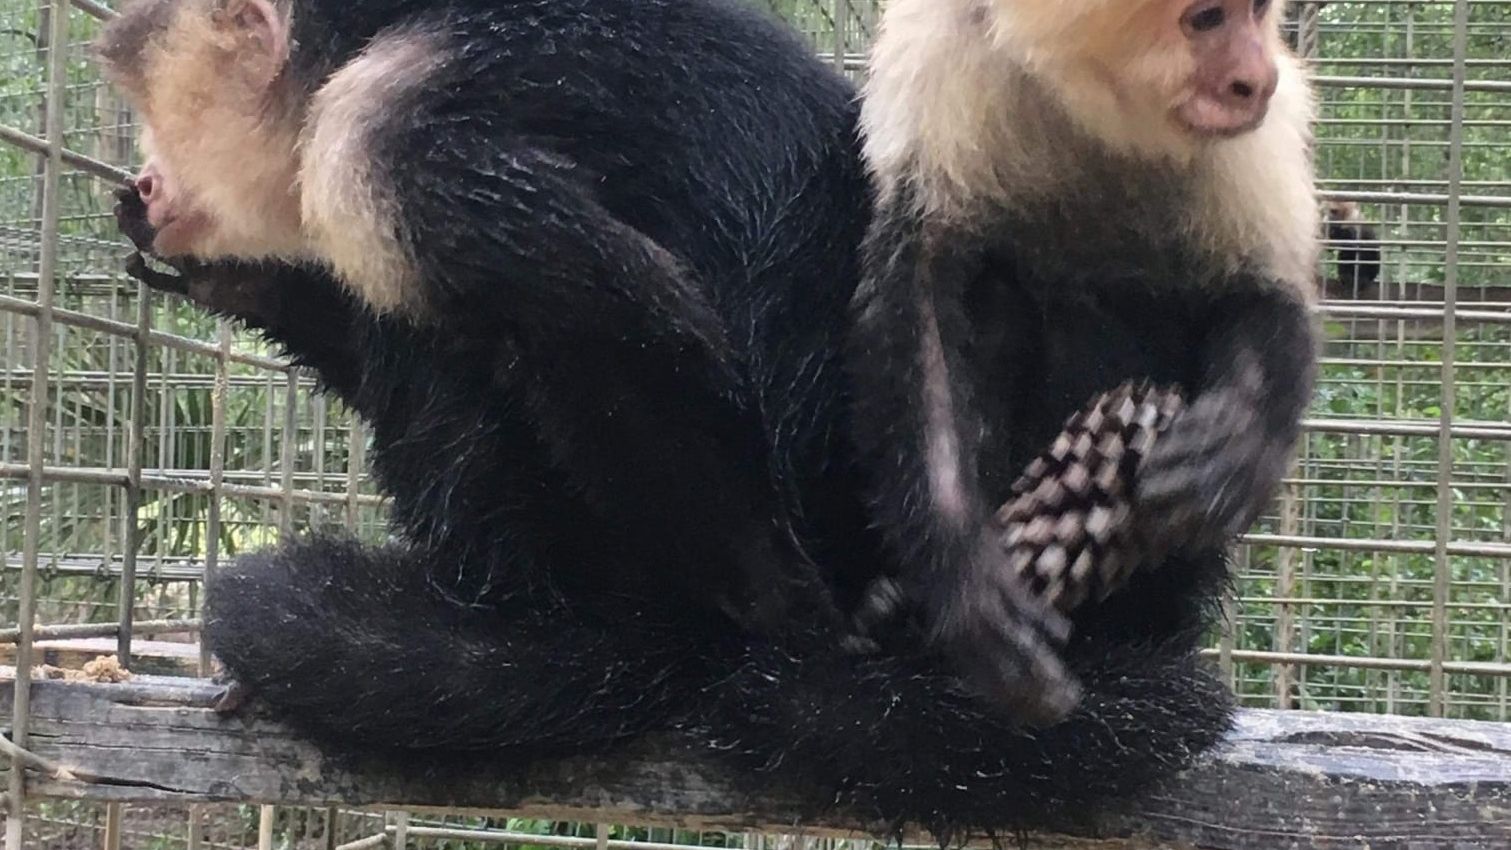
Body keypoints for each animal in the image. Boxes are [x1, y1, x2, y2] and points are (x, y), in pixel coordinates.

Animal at [103, 0, 1250, 838]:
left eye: (156, 115)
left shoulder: (380, 130)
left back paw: (574, 641)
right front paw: (246, 284)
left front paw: (785, 620)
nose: (150, 177)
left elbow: (632, 316)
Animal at [846, 0, 1321, 726]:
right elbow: (919, 288)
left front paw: (1236, 440)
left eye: (1256, 12)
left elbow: (1260, 293)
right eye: (1207, 19)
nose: (1255, 80)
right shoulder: (943, 57)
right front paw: (966, 583)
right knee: (999, 297)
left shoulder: (1253, 138)